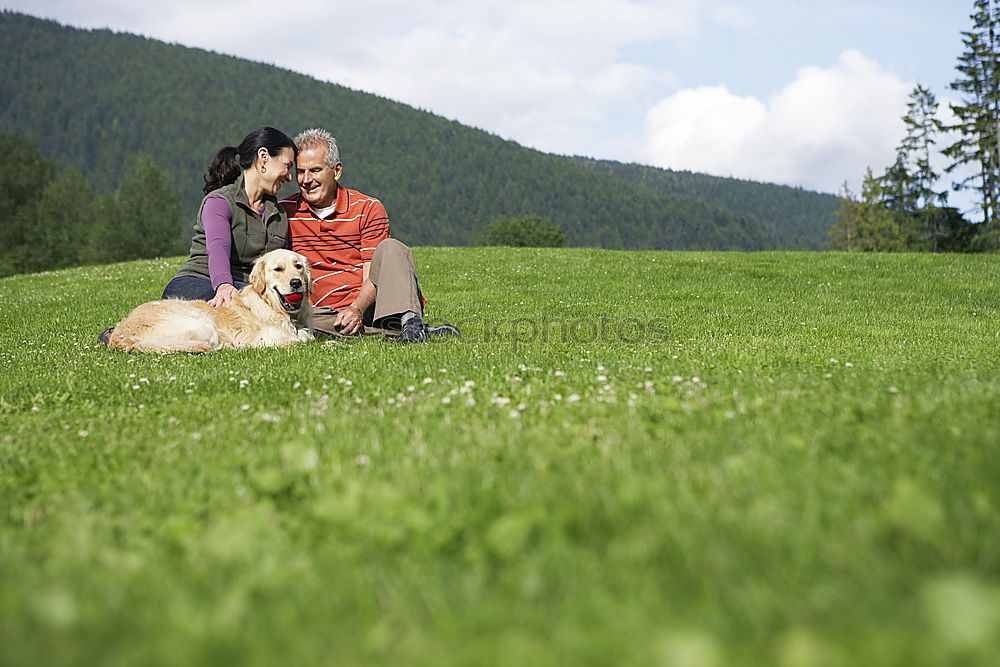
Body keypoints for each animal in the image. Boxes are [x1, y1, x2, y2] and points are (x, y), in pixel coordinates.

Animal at [109, 250, 312, 354]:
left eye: (298, 266)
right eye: (278, 269)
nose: (296, 283)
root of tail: (120, 336)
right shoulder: (266, 338)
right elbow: (300, 339)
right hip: (202, 323)